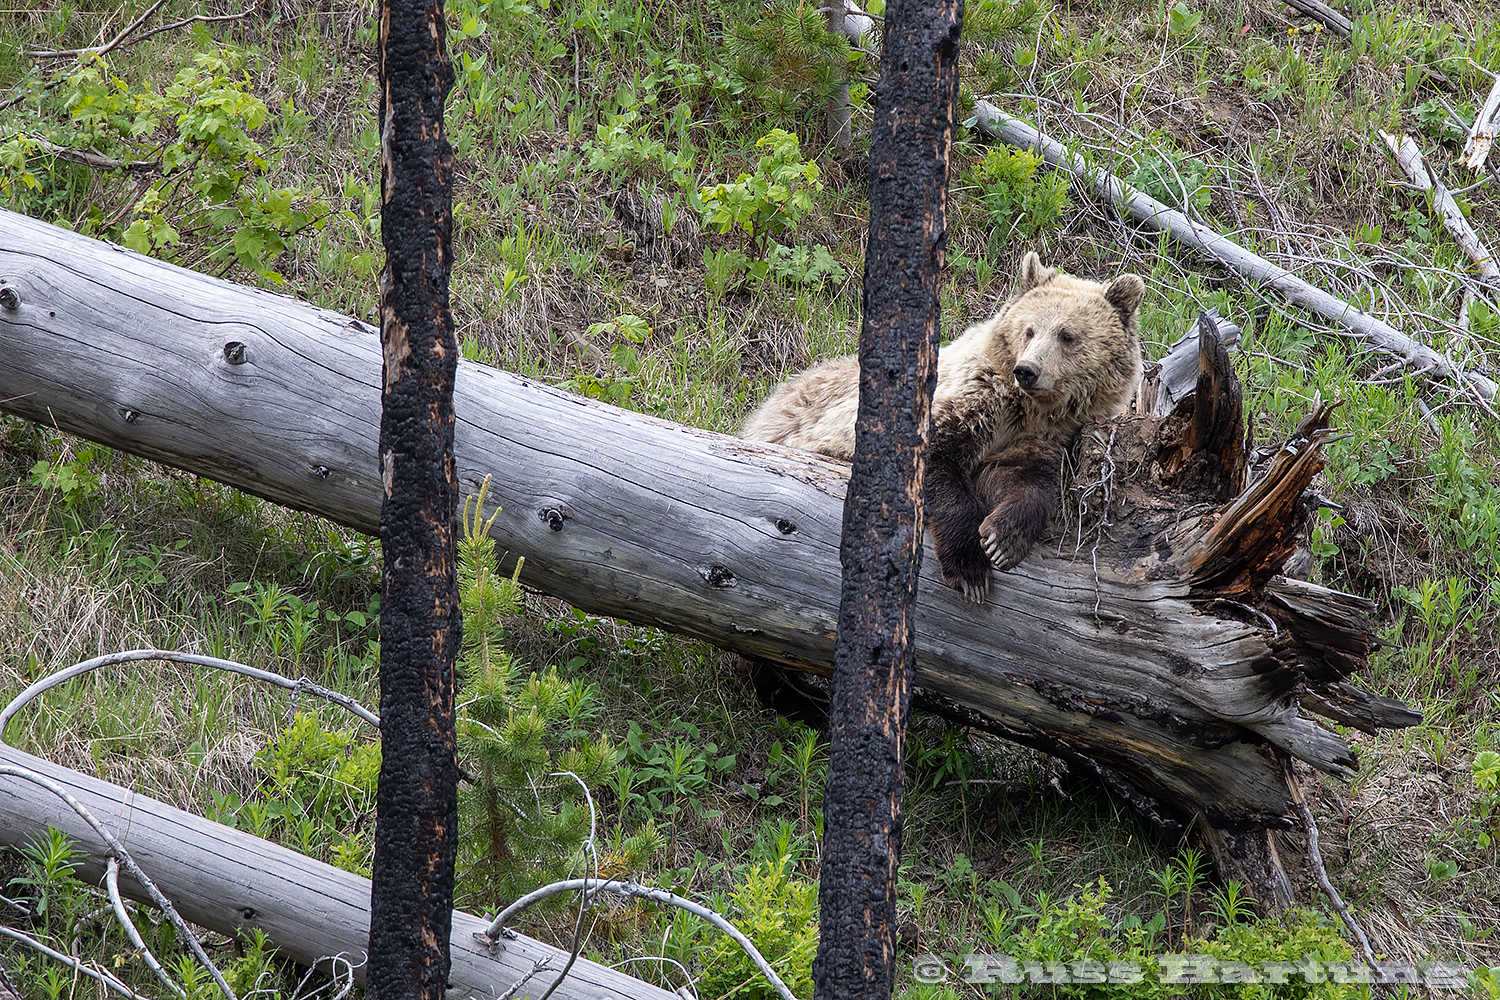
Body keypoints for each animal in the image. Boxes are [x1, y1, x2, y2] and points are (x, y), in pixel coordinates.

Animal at [741, 254, 1146, 602]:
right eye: (1030, 329)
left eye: (1067, 335)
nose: (1027, 370)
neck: (1029, 408)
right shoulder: (969, 397)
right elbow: (935, 459)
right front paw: (970, 570)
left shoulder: (1043, 436)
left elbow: (1025, 481)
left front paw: (1002, 540)